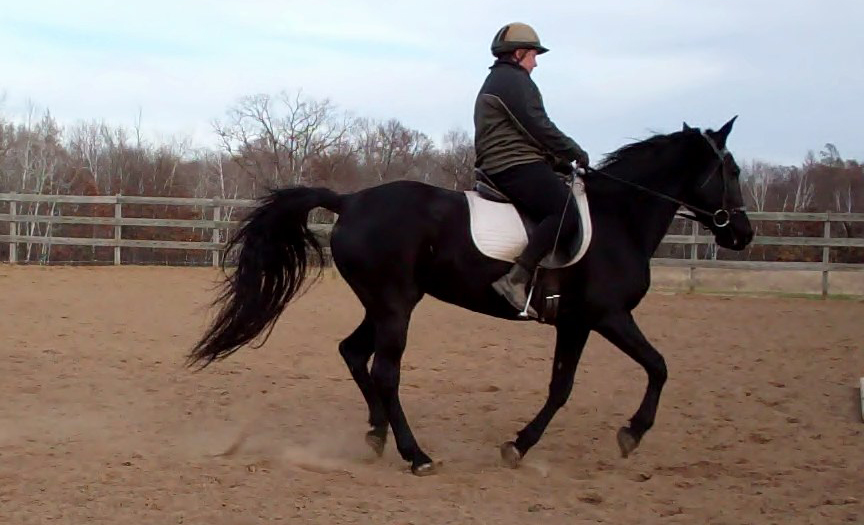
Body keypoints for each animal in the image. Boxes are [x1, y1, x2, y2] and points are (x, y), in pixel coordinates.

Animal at [187, 117, 754, 476]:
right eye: (731, 170)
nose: (743, 235)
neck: (619, 219)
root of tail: (349, 201)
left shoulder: (575, 323)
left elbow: (561, 388)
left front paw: (519, 446)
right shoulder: (607, 315)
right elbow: (658, 366)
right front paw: (630, 434)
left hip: (384, 304)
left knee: (353, 353)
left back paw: (376, 436)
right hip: (395, 305)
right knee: (384, 371)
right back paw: (416, 455)